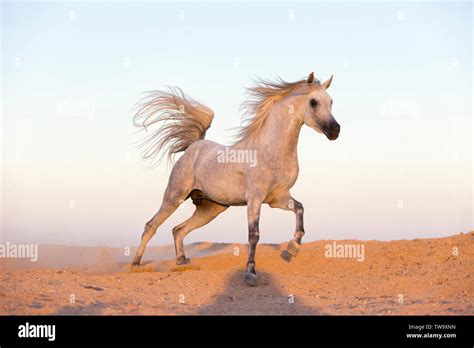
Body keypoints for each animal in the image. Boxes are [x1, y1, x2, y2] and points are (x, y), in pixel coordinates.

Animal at [132, 71, 340, 286]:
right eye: (314, 102)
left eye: (331, 101)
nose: (335, 130)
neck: (271, 151)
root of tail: (194, 146)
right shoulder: (254, 199)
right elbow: (254, 234)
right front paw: (250, 273)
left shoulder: (278, 199)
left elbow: (300, 209)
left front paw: (292, 250)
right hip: (174, 197)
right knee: (151, 226)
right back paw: (136, 264)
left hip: (211, 209)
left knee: (178, 230)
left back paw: (182, 261)